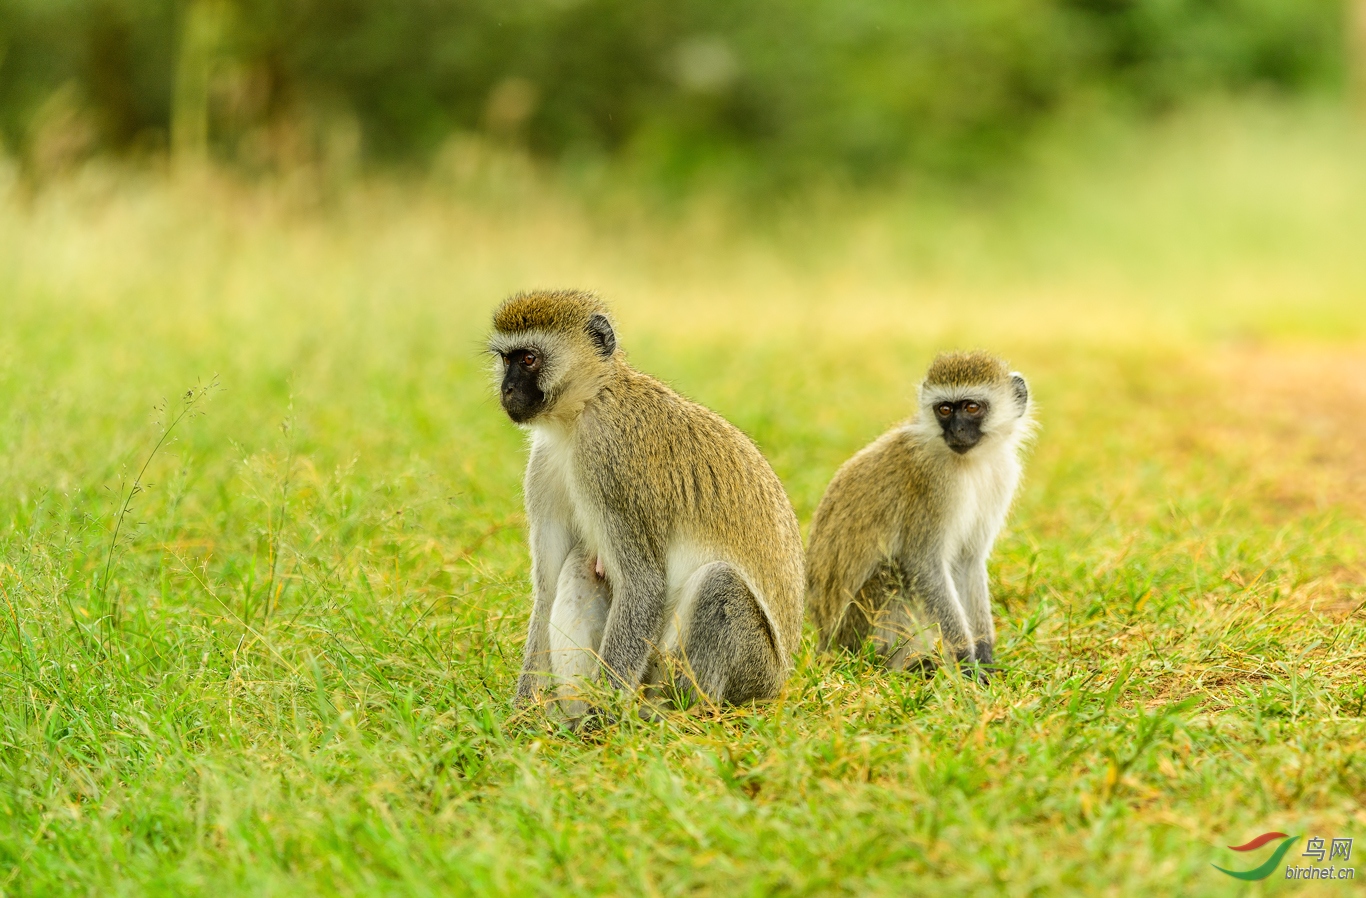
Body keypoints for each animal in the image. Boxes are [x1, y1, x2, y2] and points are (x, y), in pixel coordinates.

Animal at [489, 288, 797, 721]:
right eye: (506, 359)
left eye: (529, 359)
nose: (507, 390)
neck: (583, 410)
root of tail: (777, 684)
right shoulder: (544, 465)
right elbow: (547, 587)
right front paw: (523, 711)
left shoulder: (611, 458)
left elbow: (643, 584)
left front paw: (599, 722)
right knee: (579, 563)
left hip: (752, 669)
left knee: (720, 584)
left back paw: (674, 714)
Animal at [803, 349, 1027, 672]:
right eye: (944, 410)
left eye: (971, 407)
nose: (957, 429)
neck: (970, 462)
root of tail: (825, 643)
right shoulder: (932, 482)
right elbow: (924, 564)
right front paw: (964, 658)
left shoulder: (1002, 473)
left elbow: (969, 560)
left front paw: (983, 653)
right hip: (853, 632)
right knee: (894, 576)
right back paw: (899, 665)